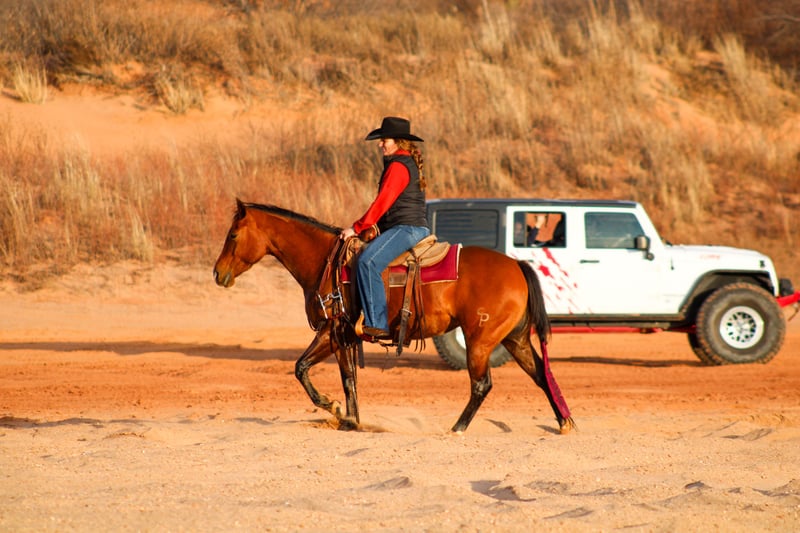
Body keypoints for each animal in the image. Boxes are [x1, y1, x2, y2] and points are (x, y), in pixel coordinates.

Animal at [213, 199, 575, 434]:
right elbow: (348, 380)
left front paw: (334, 409)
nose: (218, 273)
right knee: (540, 373)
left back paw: (457, 427)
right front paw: (351, 420)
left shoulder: (331, 331)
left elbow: (302, 368)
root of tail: (516, 264)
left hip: (480, 341)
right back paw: (564, 422)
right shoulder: (344, 337)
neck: (325, 262)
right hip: (514, 339)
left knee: (482, 384)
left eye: (232, 235)